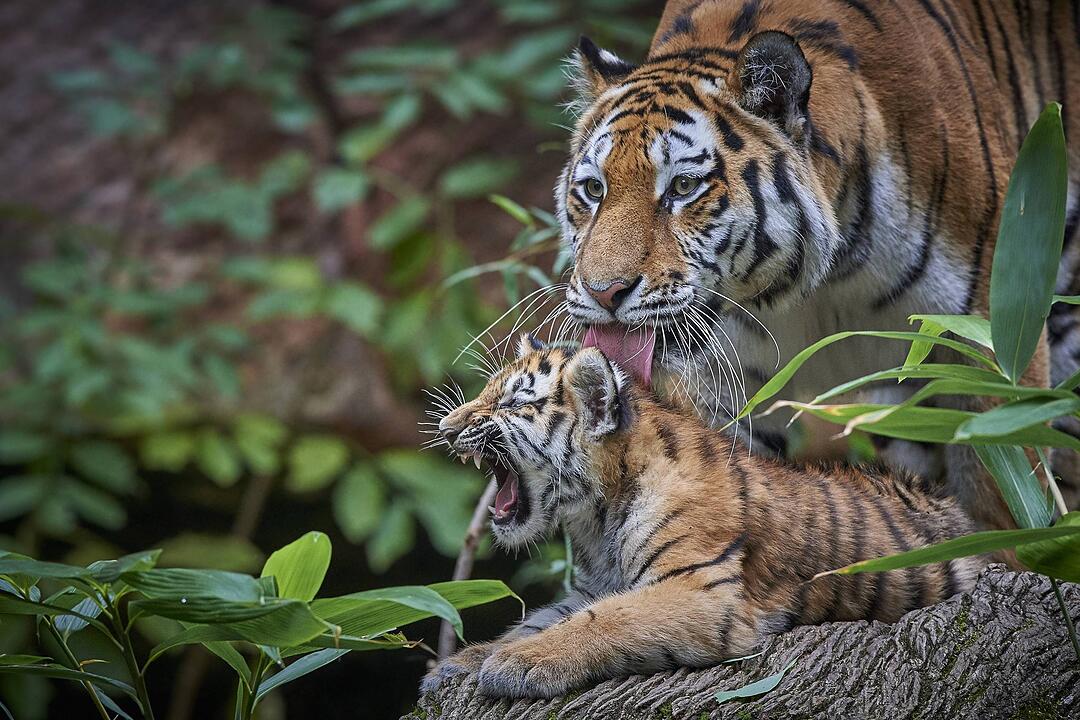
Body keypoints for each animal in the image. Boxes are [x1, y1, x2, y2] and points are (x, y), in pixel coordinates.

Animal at [423, 336, 982, 699]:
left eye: (513, 401)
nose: (446, 427)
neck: (597, 515)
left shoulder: (700, 589)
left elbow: (606, 619)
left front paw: (515, 663)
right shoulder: (593, 586)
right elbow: (538, 619)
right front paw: (461, 663)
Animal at [555, 0, 1080, 532]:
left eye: (683, 187)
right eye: (594, 190)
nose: (604, 293)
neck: (817, 283)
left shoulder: (991, 350)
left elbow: (1004, 501)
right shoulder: (722, 387)